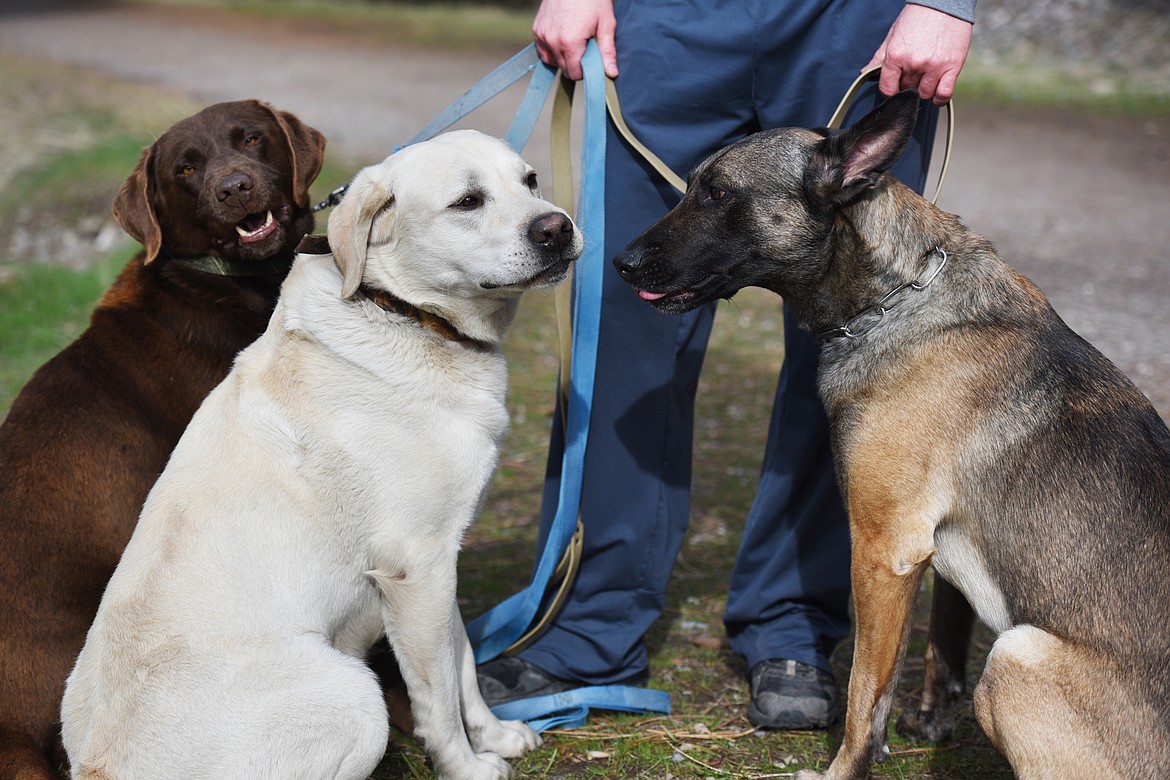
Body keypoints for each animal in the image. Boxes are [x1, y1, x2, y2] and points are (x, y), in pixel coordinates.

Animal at [61, 129, 582, 780]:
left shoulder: (441, 559)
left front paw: (497, 736)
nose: (558, 227)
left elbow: (462, 663)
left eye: (530, 181)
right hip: (355, 694)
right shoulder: (415, 568)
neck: (402, 313)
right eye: (467, 201)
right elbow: (437, 693)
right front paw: (465, 766)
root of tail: (97, 766)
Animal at [613, 90, 1170, 776]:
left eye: (718, 193)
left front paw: (844, 767)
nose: (621, 263)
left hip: (1016, 658)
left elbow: (863, 697)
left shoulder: (883, 552)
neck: (898, 296)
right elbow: (944, 645)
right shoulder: (938, 556)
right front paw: (931, 723)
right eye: (694, 186)